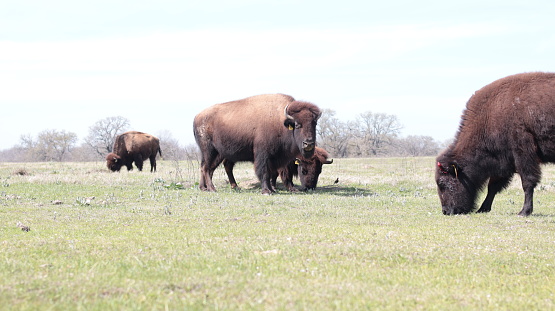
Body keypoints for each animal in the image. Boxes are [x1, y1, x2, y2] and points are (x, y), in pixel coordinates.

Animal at [195, 94, 324, 194]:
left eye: (314, 123)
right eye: (297, 125)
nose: (308, 143)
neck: (280, 121)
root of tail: (197, 116)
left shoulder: (275, 159)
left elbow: (271, 173)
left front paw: (272, 190)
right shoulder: (263, 155)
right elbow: (265, 172)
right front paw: (267, 191)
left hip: (218, 153)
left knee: (210, 167)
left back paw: (205, 188)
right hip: (209, 151)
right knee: (206, 168)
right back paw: (212, 188)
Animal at [436, 72, 555, 217]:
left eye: (442, 183)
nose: (446, 211)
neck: (490, 115)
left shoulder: (523, 155)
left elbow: (527, 182)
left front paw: (524, 211)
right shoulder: (504, 161)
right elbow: (492, 186)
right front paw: (483, 208)